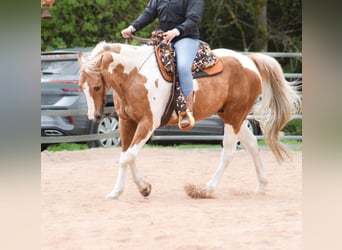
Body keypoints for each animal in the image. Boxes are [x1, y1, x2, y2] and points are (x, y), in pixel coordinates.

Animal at [77, 42, 300, 200]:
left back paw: (205, 190)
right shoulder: (126, 122)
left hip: (235, 116)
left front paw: (137, 188)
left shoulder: (148, 123)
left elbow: (128, 156)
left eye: (97, 86)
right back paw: (261, 185)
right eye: (81, 86)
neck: (135, 75)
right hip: (231, 116)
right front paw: (129, 190)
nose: (94, 117)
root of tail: (249, 61)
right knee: (252, 144)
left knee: (228, 152)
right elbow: (126, 156)